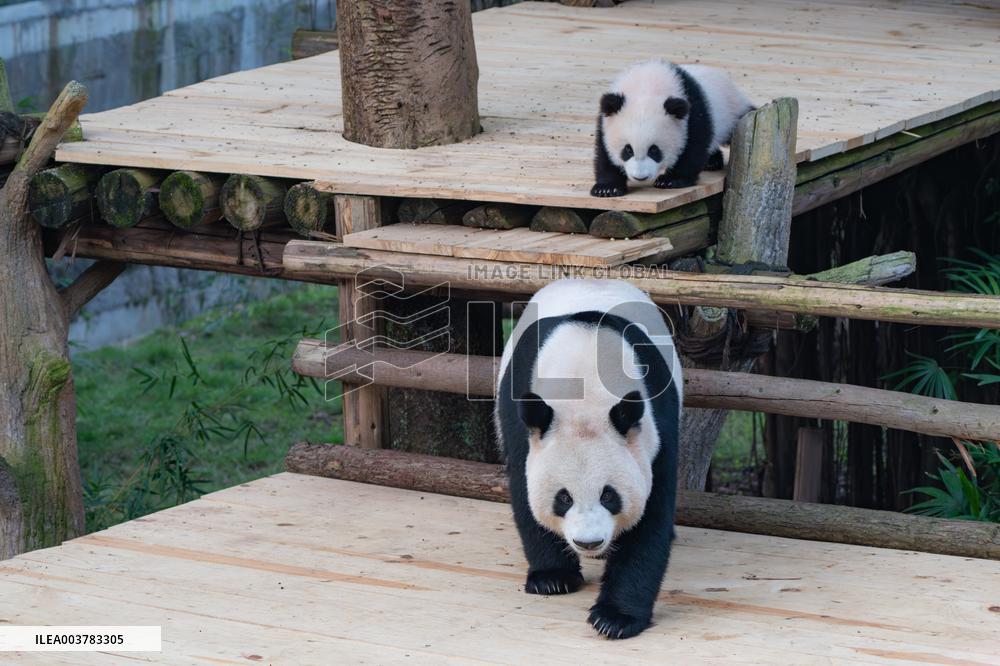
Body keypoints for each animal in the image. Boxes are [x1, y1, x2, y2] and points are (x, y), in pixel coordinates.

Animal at [494, 279, 682, 640]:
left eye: (609, 495)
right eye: (563, 498)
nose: (589, 542)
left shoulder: (656, 427)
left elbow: (650, 518)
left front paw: (615, 618)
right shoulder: (522, 416)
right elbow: (524, 490)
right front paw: (553, 578)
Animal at [590, 59, 754, 197]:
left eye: (654, 150)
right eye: (628, 150)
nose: (640, 177)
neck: (647, 86)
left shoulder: (693, 112)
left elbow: (693, 147)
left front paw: (670, 180)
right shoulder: (606, 120)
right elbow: (604, 153)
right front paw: (607, 188)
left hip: (733, 112)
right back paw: (712, 161)